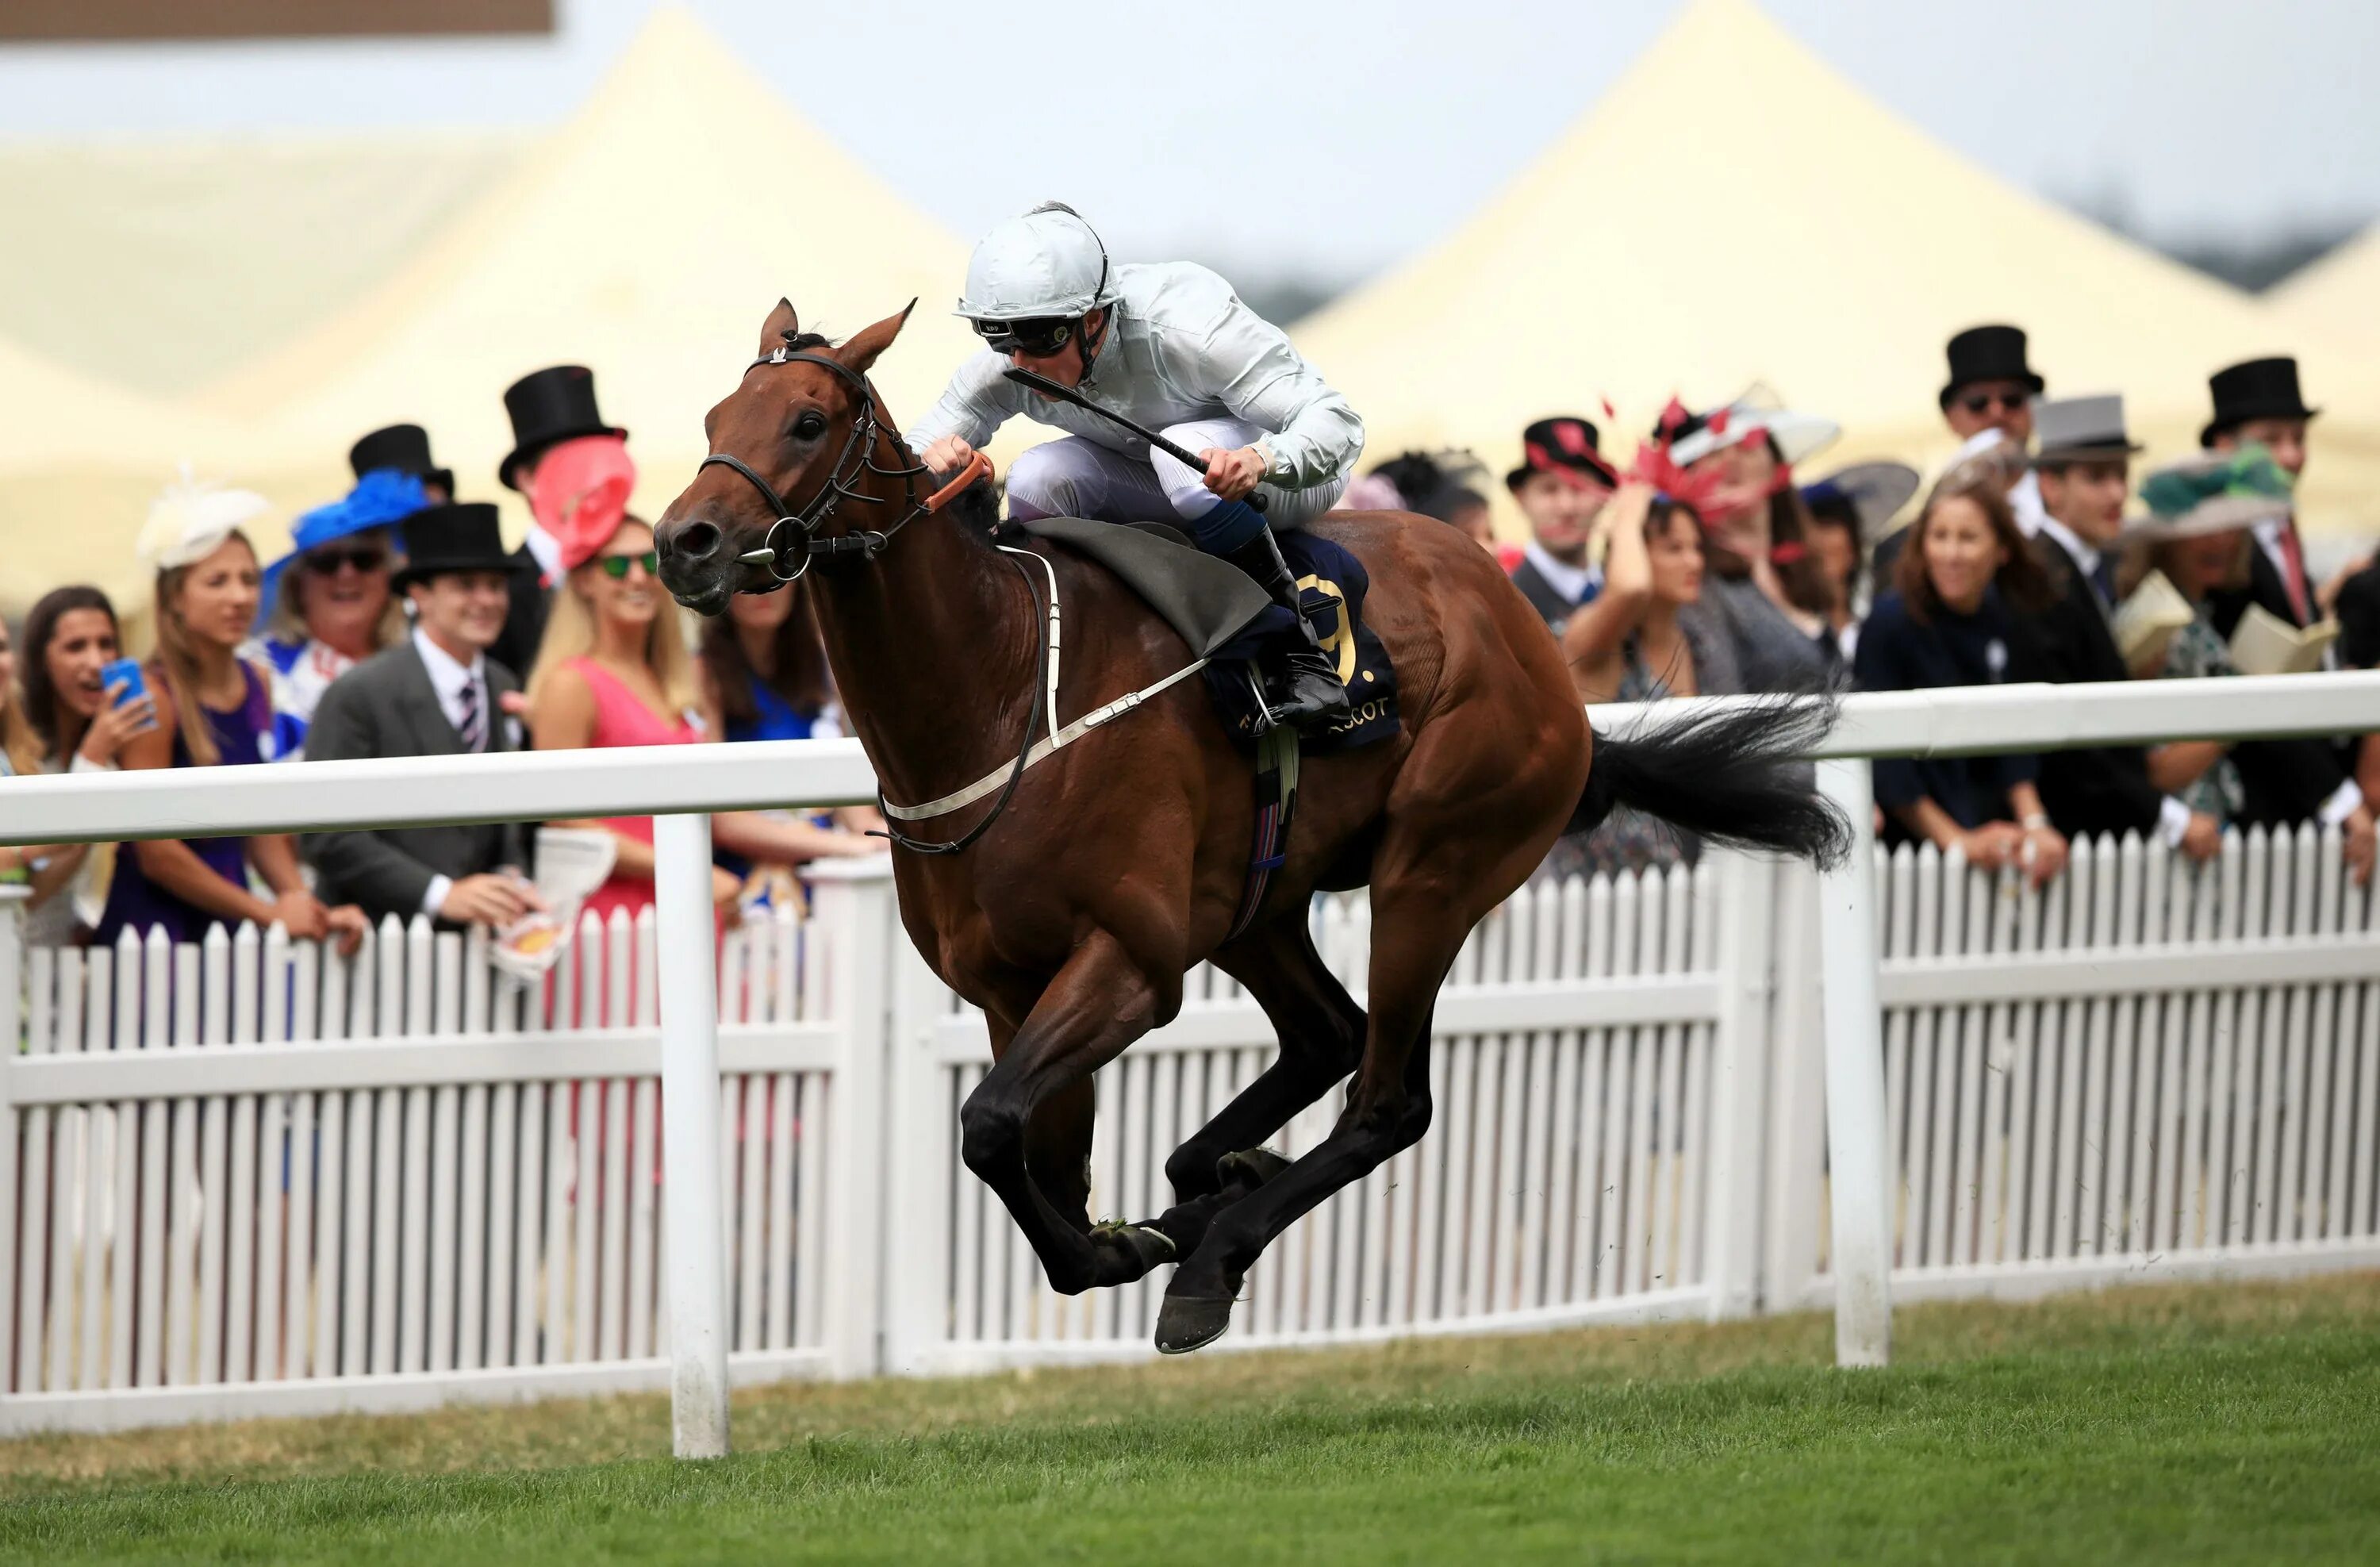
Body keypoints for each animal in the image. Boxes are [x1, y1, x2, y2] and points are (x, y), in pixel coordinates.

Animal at [652, 298, 1837, 1352]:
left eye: (808, 422)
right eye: (713, 417)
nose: (684, 541)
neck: (999, 689)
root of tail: (1535, 644)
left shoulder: (1131, 961)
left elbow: (991, 1128)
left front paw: (1130, 1247)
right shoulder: (1006, 985)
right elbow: (1037, 1156)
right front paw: (1129, 1232)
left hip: (1436, 866)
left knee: (1386, 1099)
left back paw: (1213, 1250)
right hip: (1256, 904)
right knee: (1328, 1036)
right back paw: (1212, 1187)